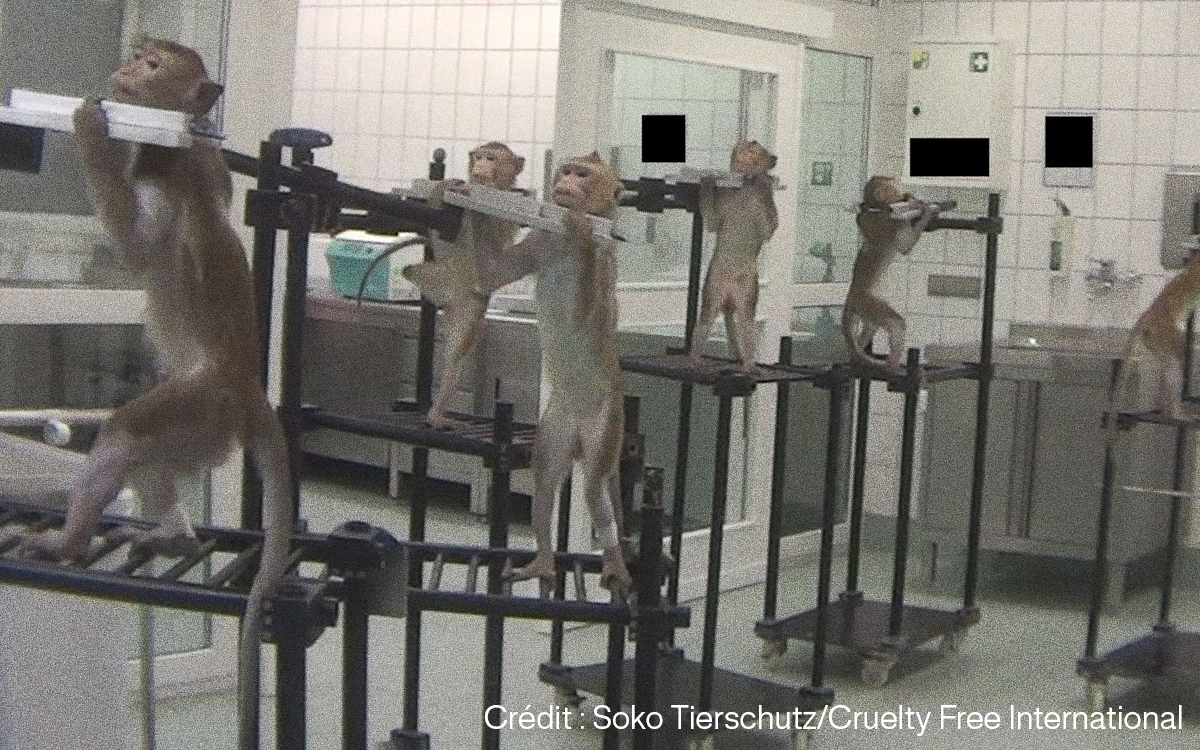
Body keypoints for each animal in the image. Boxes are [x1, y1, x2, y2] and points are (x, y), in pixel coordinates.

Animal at [13, 38, 292, 750]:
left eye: (154, 65)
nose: (126, 70)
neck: (177, 143)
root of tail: (247, 392)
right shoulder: (208, 164)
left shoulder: (169, 183)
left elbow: (138, 248)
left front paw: (93, 130)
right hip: (203, 427)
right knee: (152, 459)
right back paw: (180, 540)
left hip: (200, 406)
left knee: (126, 434)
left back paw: (70, 543)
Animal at [505, 153, 631, 596]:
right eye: (568, 169)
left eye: (584, 174)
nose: (566, 182)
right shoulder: (542, 241)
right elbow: (496, 270)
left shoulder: (607, 257)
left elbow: (591, 312)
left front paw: (581, 225)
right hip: (559, 424)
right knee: (544, 477)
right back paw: (544, 559)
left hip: (608, 422)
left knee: (594, 487)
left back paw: (614, 559)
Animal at [687, 140, 779, 370]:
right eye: (755, 144)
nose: (775, 158)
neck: (744, 187)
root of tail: (729, 299)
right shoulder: (726, 199)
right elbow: (712, 220)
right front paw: (707, 180)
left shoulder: (760, 208)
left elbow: (769, 228)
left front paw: (764, 180)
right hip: (712, 286)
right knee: (707, 318)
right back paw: (696, 358)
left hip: (748, 290)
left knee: (744, 321)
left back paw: (748, 365)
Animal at [841, 175, 938, 375]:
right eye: (892, 186)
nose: (902, 192)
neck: (877, 208)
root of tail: (851, 296)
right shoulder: (891, 222)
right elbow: (905, 247)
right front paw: (924, 208)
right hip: (867, 302)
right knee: (896, 323)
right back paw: (892, 366)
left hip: (864, 308)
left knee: (871, 325)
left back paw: (856, 358)